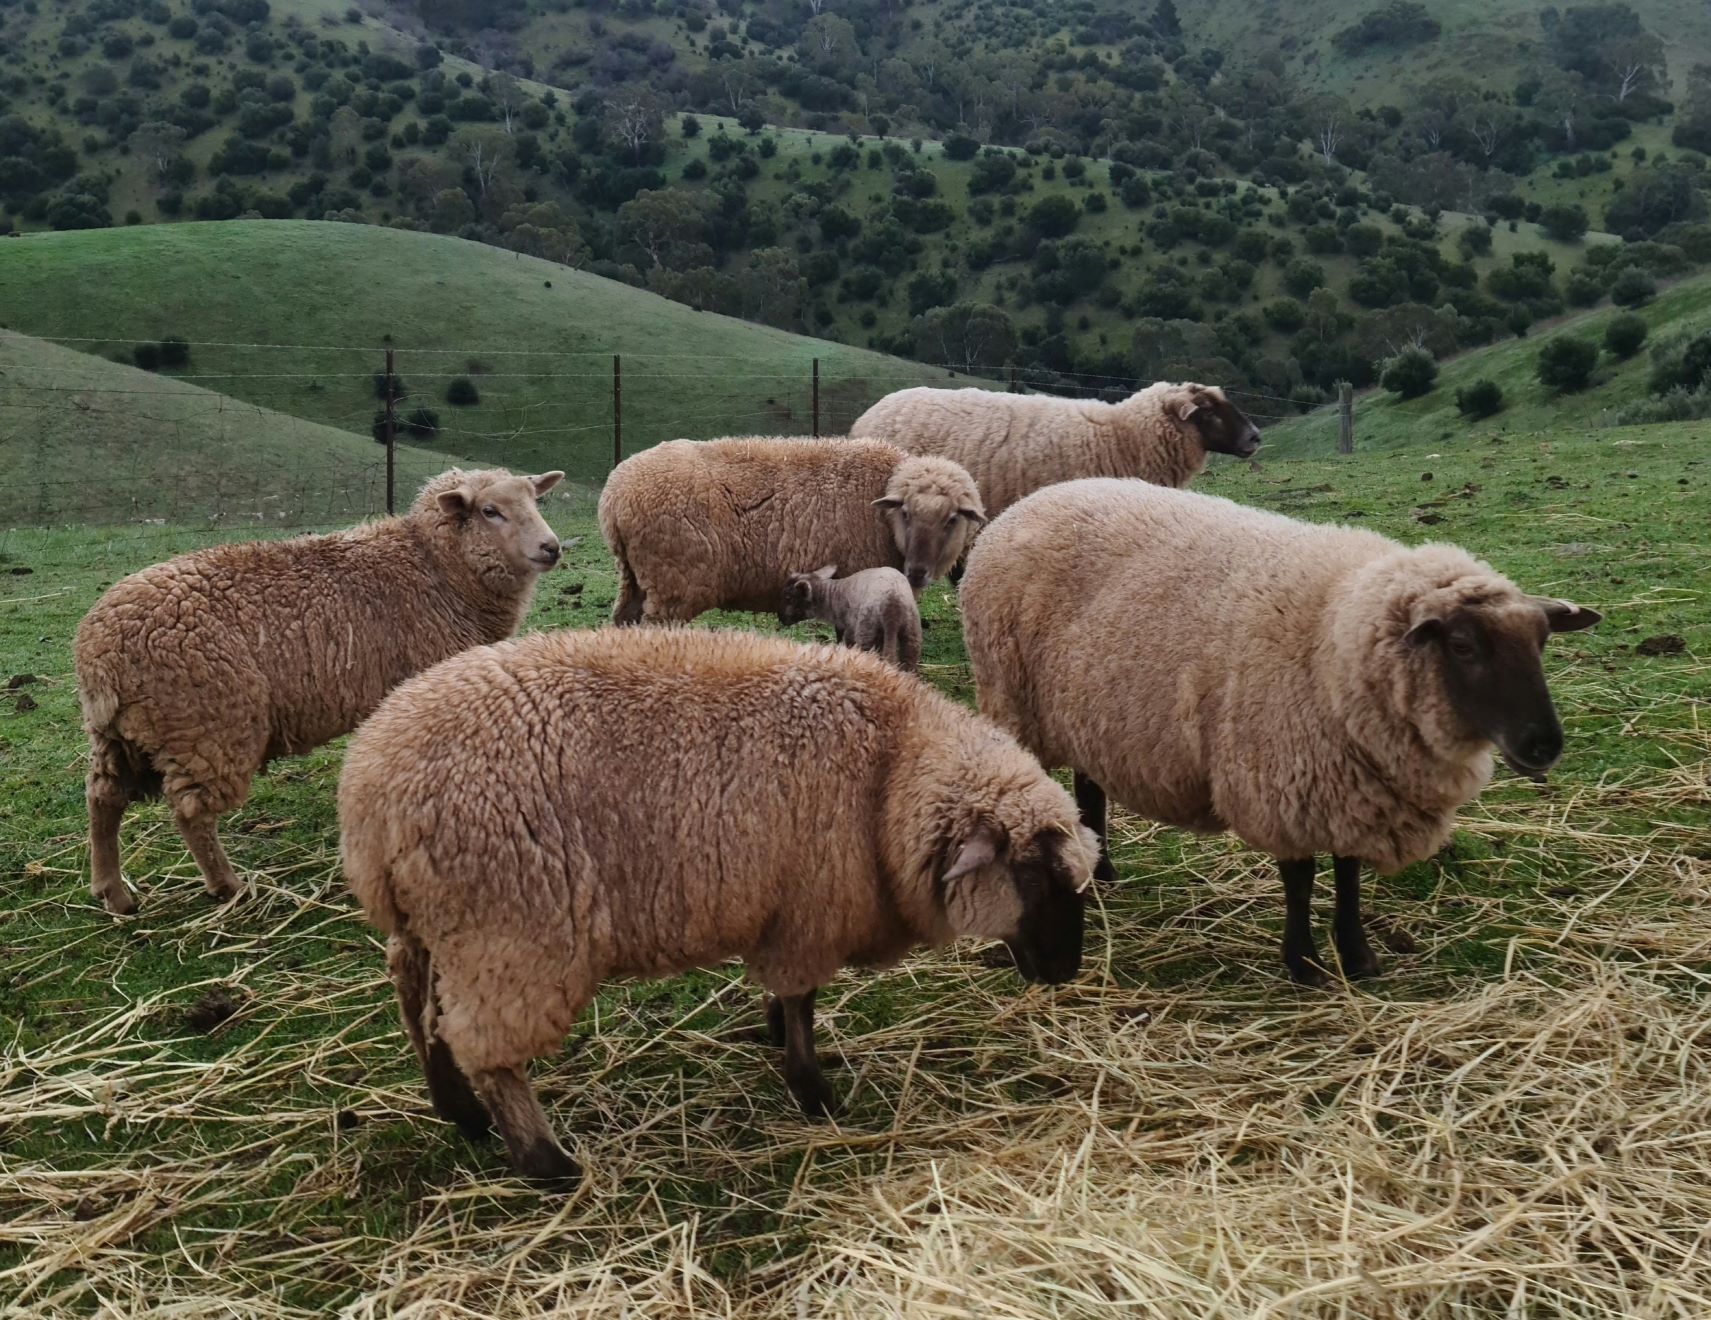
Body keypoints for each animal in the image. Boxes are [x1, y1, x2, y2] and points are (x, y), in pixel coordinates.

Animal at [75, 468, 564, 916]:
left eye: (535, 500)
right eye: (490, 511)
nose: (552, 547)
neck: (435, 566)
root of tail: (99, 652)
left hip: (120, 736)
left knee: (103, 798)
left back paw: (113, 893)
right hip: (206, 728)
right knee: (191, 813)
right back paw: (227, 886)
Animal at [338, 626, 1098, 1186]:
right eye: (1033, 876)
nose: (1067, 971)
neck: (891, 774)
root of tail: (370, 796)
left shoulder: (782, 908)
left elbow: (788, 999)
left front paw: (776, 1037)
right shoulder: (809, 911)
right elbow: (802, 1000)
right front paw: (812, 1090)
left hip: (435, 925)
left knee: (417, 1000)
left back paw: (460, 1114)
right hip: (513, 933)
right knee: (487, 1048)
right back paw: (545, 1162)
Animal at [599, 436, 983, 624]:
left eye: (952, 519)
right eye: (904, 512)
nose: (917, 572)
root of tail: (614, 496)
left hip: (635, 577)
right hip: (673, 585)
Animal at [778, 565, 923, 673]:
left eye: (788, 598)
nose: (781, 619)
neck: (832, 597)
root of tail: (893, 602)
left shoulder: (849, 627)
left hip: (866, 627)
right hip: (912, 626)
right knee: (910, 657)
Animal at [960, 478, 1599, 986]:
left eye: (1542, 642)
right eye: (1463, 646)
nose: (1545, 745)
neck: (1337, 634)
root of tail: (1033, 499)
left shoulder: (1351, 786)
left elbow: (1347, 874)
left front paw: (1358, 957)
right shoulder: (1285, 776)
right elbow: (1300, 877)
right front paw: (1304, 963)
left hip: (1085, 708)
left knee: (1090, 786)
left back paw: (1104, 872)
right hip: (1016, 699)